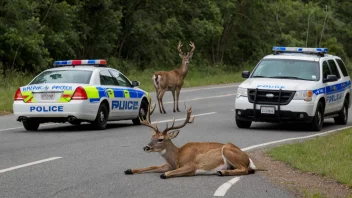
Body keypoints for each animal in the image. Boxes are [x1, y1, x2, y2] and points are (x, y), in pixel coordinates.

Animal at [124, 100, 264, 179]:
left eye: (161, 139)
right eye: (151, 137)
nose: (146, 147)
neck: (176, 157)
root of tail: (248, 158)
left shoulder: (191, 166)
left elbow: (164, 174)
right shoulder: (169, 165)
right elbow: (151, 166)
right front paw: (129, 169)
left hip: (228, 150)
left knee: (245, 169)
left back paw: (221, 172)